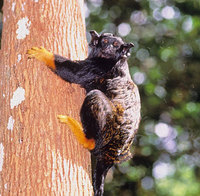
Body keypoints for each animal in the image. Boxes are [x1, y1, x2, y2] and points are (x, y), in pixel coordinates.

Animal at [27, 30, 141, 196]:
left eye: (115, 45)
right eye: (105, 41)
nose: (108, 48)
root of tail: (112, 154)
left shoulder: (101, 67)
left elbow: (74, 72)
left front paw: (45, 55)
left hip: (108, 131)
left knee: (95, 96)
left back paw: (87, 139)